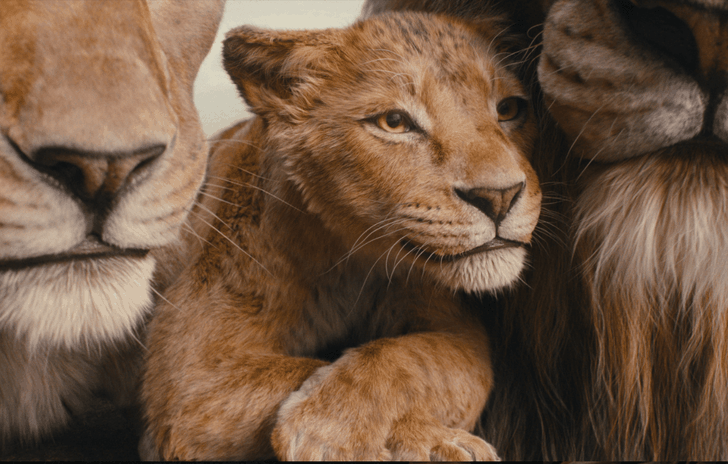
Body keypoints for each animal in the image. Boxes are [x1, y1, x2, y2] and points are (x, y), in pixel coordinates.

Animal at [139, 11, 542, 461]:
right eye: (394, 122)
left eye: (509, 109)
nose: (499, 196)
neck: (350, 260)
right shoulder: (191, 375)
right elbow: (297, 370)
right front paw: (345, 433)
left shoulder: (455, 328)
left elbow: (422, 360)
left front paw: (333, 423)